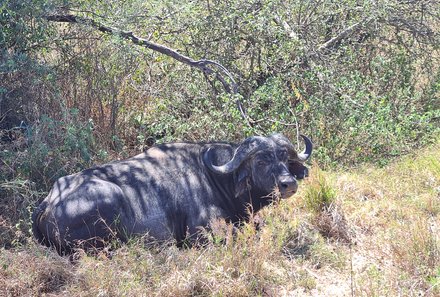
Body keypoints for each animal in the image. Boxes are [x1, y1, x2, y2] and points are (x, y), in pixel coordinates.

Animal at [31, 134, 312, 252]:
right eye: (261, 161)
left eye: (284, 158)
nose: (289, 183)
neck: (217, 178)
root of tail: (49, 201)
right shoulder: (200, 232)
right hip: (109, 199)